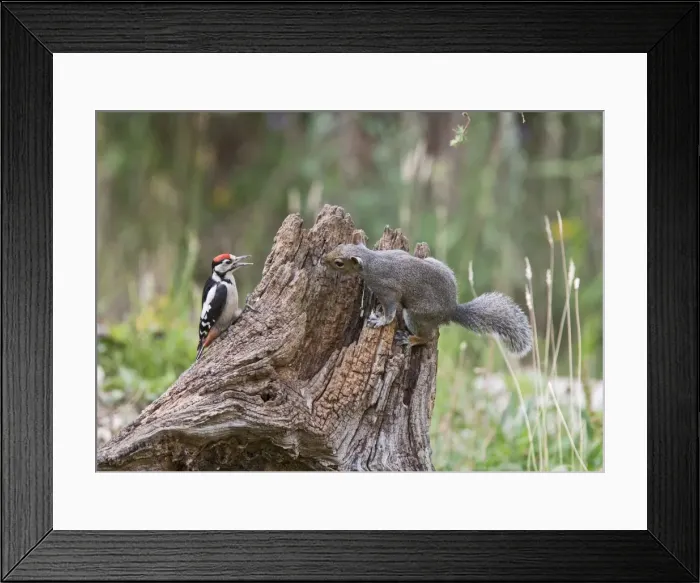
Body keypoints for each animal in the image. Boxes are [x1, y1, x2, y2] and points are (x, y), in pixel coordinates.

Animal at [323, 231, 532, 357]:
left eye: (339, 263)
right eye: (340, 245)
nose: (324, 258)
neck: (372, 261)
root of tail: (451, 310)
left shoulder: (387, 290)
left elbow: (390, 312)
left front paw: (379, 320)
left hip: (416, 316)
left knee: (429, 338)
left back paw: (411, 339)